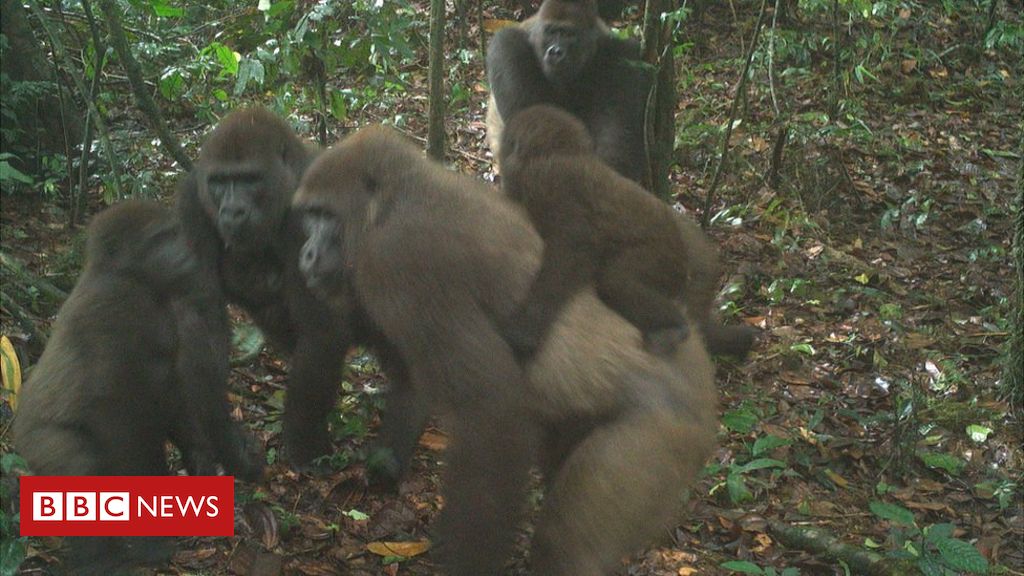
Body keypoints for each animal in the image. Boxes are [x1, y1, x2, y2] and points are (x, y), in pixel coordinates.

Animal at [12, 199, 260, 569]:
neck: (127, 273)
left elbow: (173, 393)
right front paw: (149, 538)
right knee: (81, 465)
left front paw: (205, 457)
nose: (189, 253)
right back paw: (97, 560)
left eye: (176, 233)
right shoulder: (119, 307)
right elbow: (114, 415)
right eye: (162, 237)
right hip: (37, 444)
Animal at [180, 106, 356, 467]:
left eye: (250, 179)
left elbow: (322, 329)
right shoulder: (193, 199)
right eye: (219, 182)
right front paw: (224, 438)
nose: (233, 211)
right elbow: (202, 318)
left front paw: (303, 445)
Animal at [485, 0, 647, 183]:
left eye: (569, 34)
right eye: (551, 32)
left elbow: (617, 138)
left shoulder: (624, 55)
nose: (555, 51)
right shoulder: (505, 45)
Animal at [499, 103, 692, 354]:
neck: (560, 151)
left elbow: (575, 245)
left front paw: (526, 327)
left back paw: (675, 324)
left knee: (616, 280)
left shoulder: (548, 182)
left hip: (664, 257)